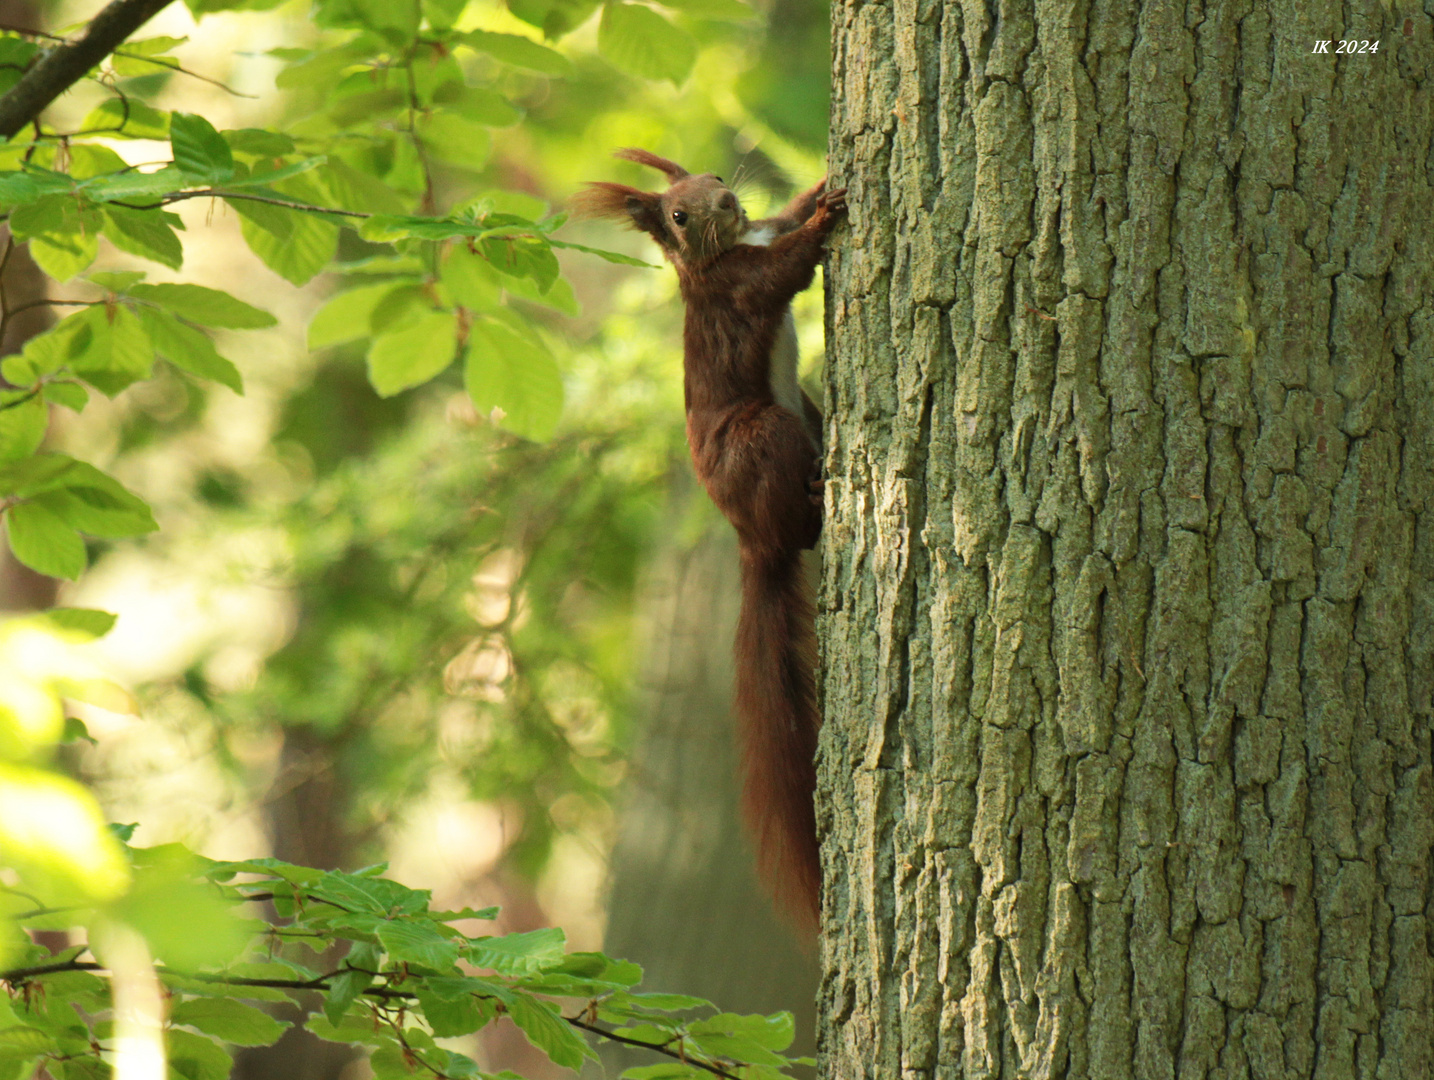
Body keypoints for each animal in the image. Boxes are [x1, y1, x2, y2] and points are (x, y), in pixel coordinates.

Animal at [570, 149, 843, 929]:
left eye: (716, 179)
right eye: (678, 216)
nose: (725, 204)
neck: (728, 250)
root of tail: (752, 539)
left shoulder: (757, 235)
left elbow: (783, 217)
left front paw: (820, 182)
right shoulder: (741, 287)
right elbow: (788, 268)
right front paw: (825, 217)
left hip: (802, 409)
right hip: (765, 432)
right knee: (799, 529)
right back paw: (820, 499)